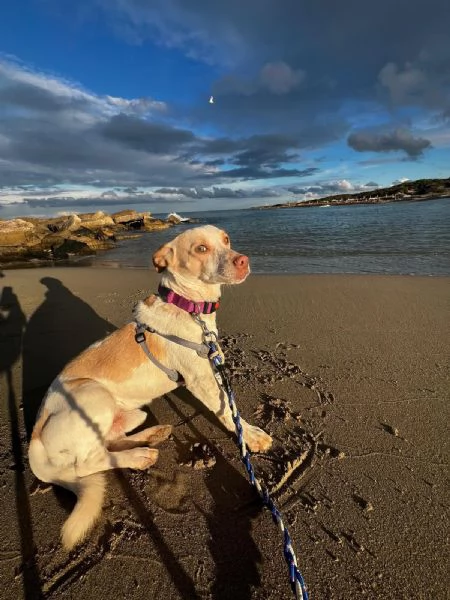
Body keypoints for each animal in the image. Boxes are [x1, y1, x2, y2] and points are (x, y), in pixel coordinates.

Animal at [29, 227, 274, 552]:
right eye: (200, 248)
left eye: (226, 240)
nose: (243, 260)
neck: (190, 309)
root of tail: (34, 442)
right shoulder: (201, 380)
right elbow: (226, 411)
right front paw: (252, 436)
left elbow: (228, 406)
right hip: (94, 397)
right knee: (87, 463)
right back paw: (138, 457)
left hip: (131, 413)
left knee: (110, 442)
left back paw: (150, 439)